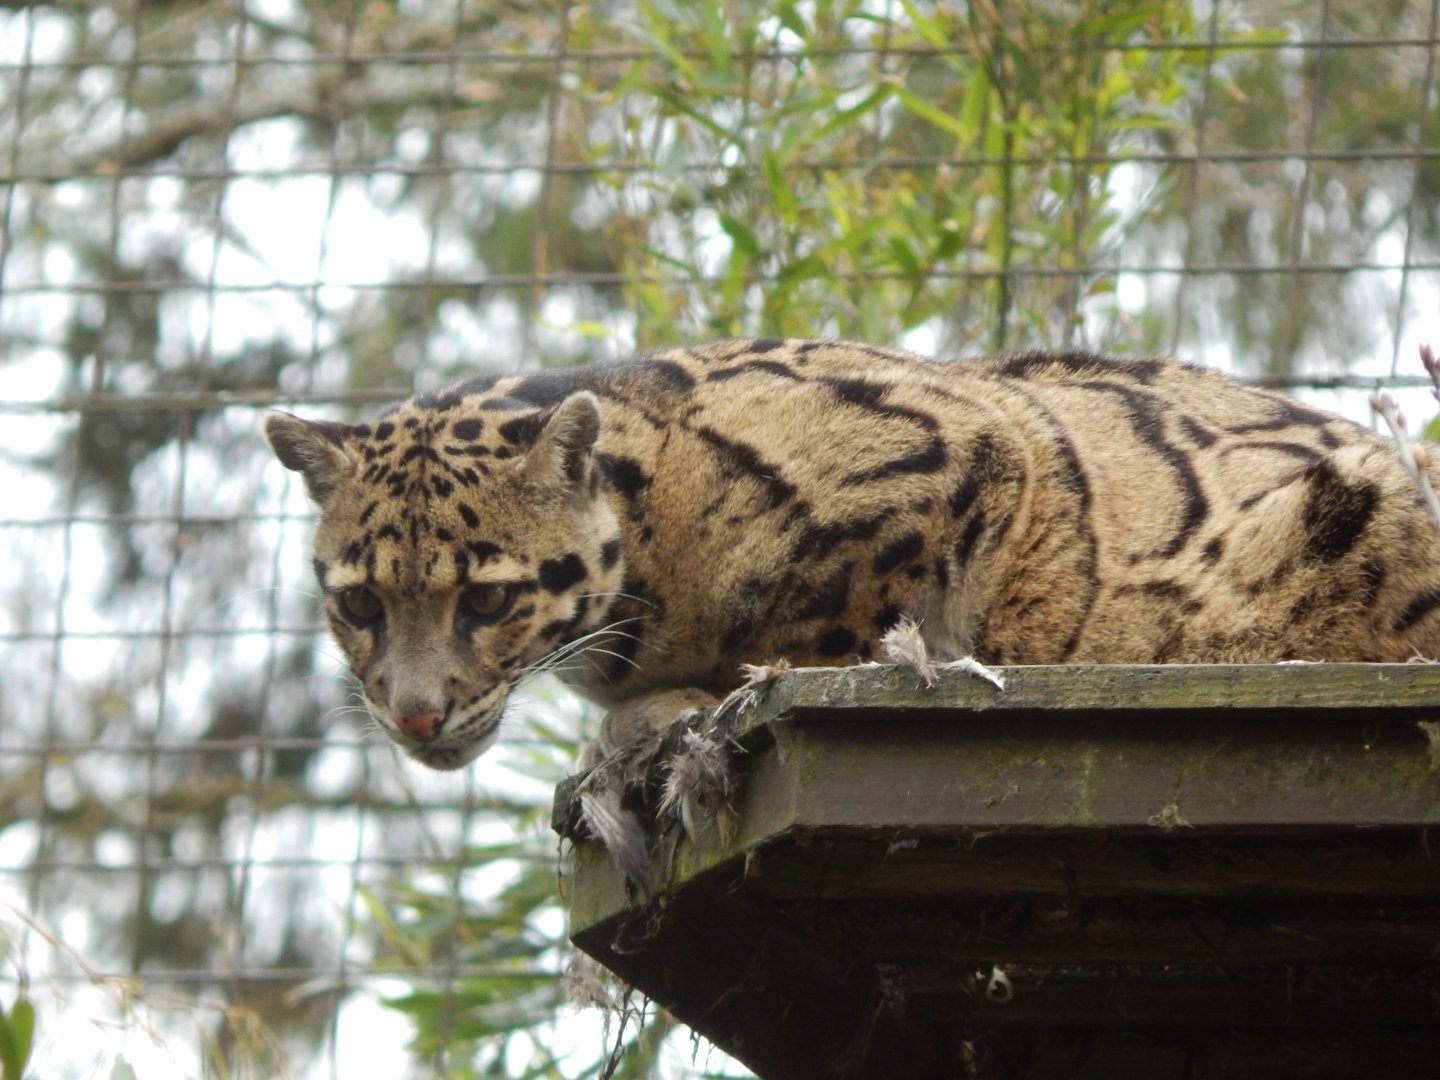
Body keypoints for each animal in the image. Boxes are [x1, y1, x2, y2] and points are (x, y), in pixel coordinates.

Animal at [265, 338, 1440, 772]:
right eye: (359, 606)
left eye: (487, 599)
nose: (414, 716)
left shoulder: (949, 452)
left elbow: (823, 630)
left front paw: (692, 704)